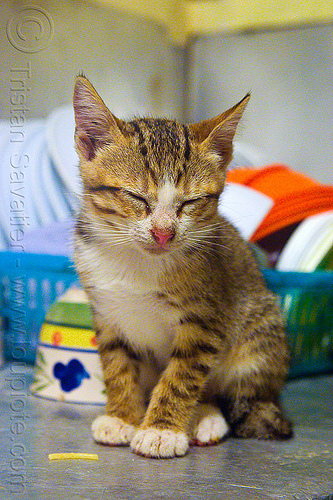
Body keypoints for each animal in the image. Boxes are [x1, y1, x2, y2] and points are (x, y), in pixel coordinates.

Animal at [72, 74, 290, 458]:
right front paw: (123, 417)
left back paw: (207, 418)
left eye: (190, 202)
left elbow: (182, 373)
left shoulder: (206, 316)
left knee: (225, 392)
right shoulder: (107, 313)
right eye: (136, 196)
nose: (163, 232)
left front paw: (160, 429)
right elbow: (117, 364)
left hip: (258, 335)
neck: (137, 260)